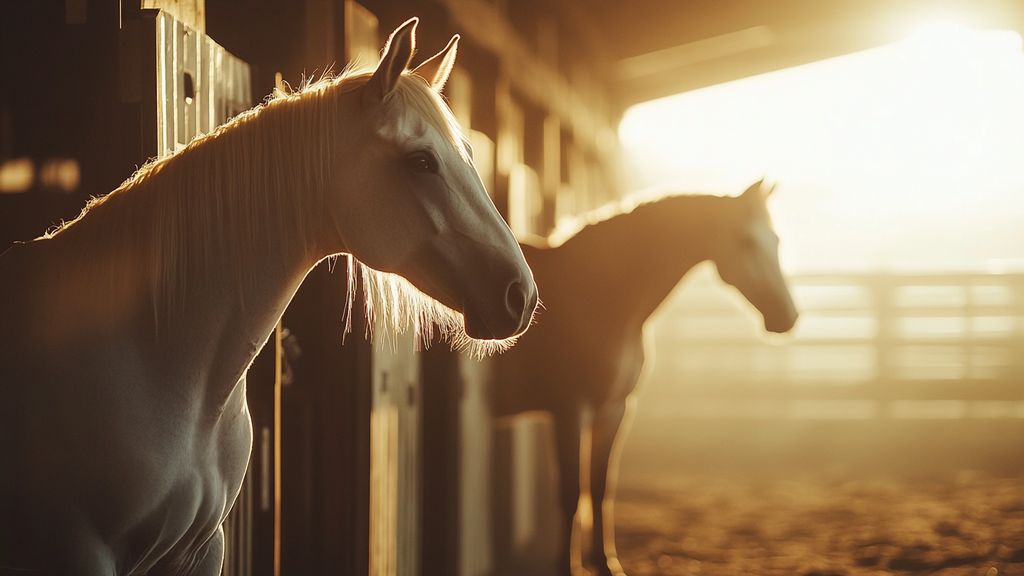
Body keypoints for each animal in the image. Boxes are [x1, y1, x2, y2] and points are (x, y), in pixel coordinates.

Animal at [489, 179, 798, 573]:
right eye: (746, 241)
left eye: (776, 239)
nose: (787, 316)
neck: (597, 296)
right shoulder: (570, 409)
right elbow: (572, 492)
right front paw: (567, 568)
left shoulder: (613, 409)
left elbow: (600, 487)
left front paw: (606, 563)